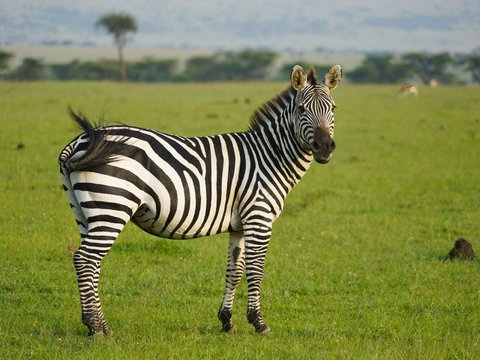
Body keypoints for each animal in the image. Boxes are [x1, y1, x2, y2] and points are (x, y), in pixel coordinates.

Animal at [59, 64, 342, 338]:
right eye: (302, 109)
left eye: (333, 108)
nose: (325, 147)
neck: (269, 157)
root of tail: (82, 140)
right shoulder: (259, 218)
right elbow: (256, 270)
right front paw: (259, 323)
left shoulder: (239, 225)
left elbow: (234, 270)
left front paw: (227, 322)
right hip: (112, 206)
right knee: (85, 260)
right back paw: (95, 327)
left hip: (85, 213)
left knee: (89, 262)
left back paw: (99, 325)